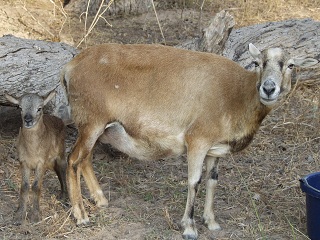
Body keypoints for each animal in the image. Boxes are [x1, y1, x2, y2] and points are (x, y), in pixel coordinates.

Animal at [5, 90, 67, 225]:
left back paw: (65, 196)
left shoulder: (41, 163)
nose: (28, 120)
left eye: (39, 108)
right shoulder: (23, 162)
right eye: (20, 107)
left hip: (60, 153)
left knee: (63, 170)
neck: (32, 150)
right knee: (57, 170)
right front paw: (19, 215)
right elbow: (24, 186)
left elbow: (36, 187)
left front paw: (35, 215)